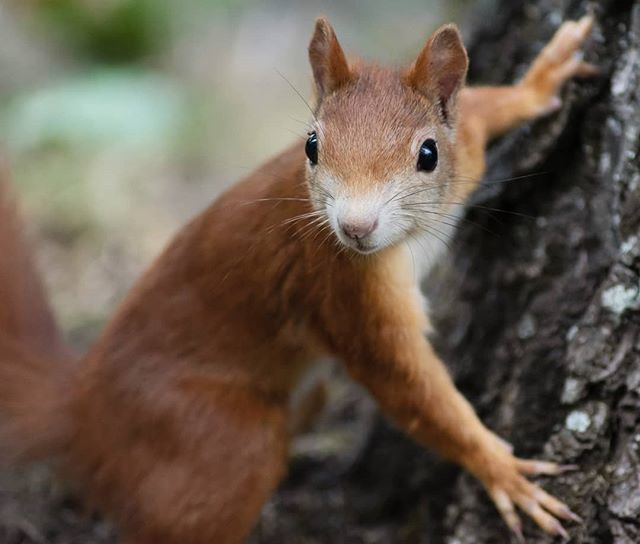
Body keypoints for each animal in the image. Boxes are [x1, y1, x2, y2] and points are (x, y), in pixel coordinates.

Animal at [0, 12, 596, 544]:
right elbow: (408, 387)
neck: (411, 235)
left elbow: (481, 106)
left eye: (428, 154)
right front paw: (501, 470)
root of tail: (82, 404)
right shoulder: (343, 290)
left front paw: (540, 79)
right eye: (311, 145)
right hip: (215, 438)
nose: (355, 227)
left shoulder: (466, 148)